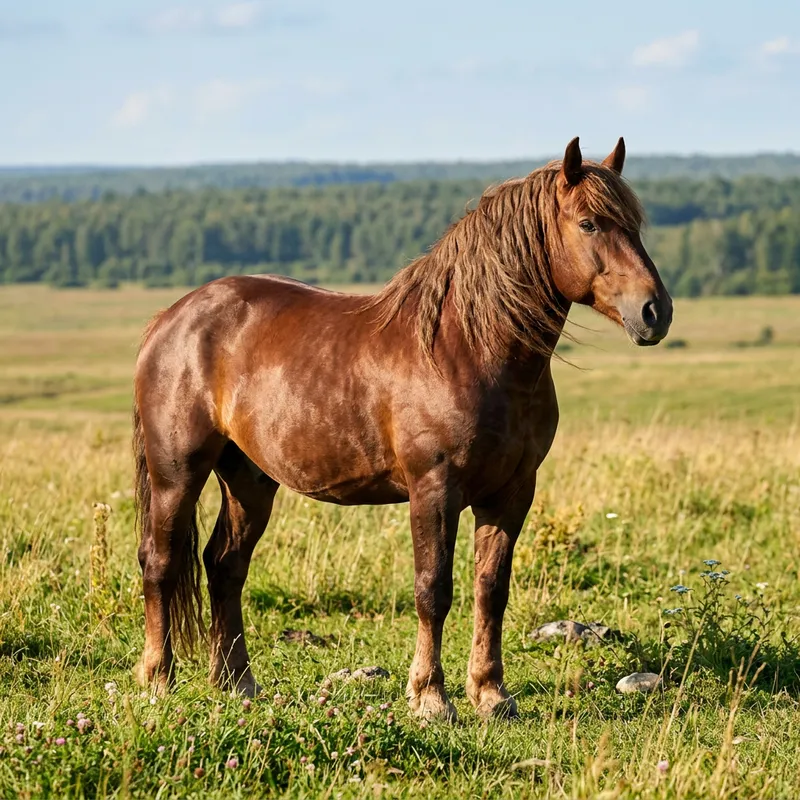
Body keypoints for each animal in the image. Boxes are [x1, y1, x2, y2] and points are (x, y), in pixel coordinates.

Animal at [132, 136, 672, 721]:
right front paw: (431, 697)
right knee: (160, 563)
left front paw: (490, 694)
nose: (655, 312)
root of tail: (170, 318)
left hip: (248, 480)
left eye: (635, 224)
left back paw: (236, 683)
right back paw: (158, 681)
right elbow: (433, 589)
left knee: (225, 565)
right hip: (177, 474)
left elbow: (491, 590)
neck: (468, 347)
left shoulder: (511, 493)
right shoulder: (434, 488)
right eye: (589, 223)